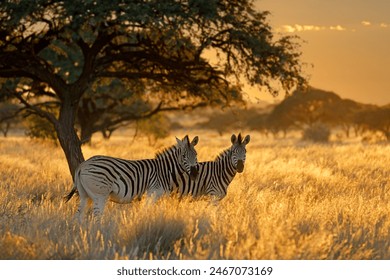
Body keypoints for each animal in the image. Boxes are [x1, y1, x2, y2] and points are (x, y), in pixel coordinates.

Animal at [65, 135, 198, 222]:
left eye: (196, 155)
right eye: (183, 156)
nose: (195, 174)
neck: (165, 171)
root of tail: (83, 165)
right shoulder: (152, 192)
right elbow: (146, 211)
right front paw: (144, 224)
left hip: (85, 195)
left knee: (78, 216)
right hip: (100, 195)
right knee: (97, 216)